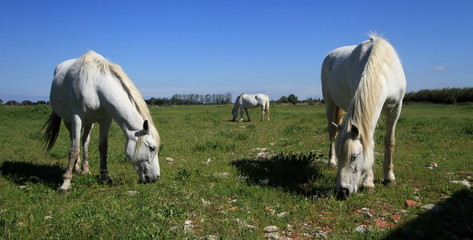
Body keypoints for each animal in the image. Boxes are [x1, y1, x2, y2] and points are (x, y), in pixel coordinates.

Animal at [42, 51, 160, 193]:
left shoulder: (106, 120)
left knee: (85, 141)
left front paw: (105, 177)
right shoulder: (77, 117)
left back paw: (85, 169)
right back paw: (76, 168)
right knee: (74, 141)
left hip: (89, 122)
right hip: (68, 120)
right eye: (152, 148)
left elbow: (103, 148)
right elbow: (74, 149)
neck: (95, 87)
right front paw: (65, 183)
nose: (156, 178)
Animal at [320, 33, 406, 199]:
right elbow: (370, 143)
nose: (342, 192)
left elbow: (389, 141)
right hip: (330, 103)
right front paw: (368, 183)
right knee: (332, 133)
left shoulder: (396, 108)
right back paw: (331, 162)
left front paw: (389, 177)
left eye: (354, 156)